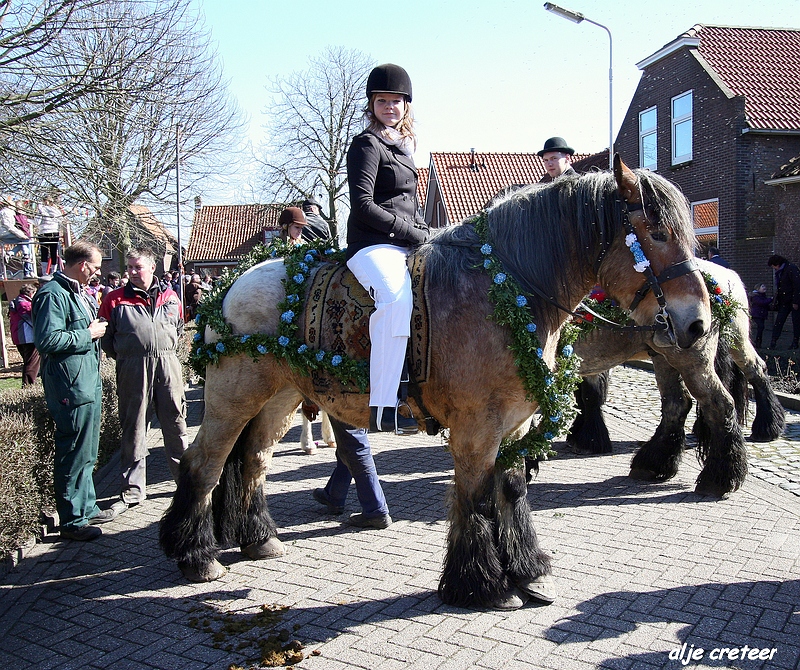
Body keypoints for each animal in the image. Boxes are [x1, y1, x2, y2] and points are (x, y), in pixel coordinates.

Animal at [159, 159, 708, 616]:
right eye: (657, 232)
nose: (697, 324)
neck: (505, 287)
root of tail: (232, 286)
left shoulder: (513, 426)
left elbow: (511, 490)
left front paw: (527, 572)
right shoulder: (476, 431)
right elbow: (477, 499)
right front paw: (483, 585)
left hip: (279, 398)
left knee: (252, 461)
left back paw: (258, 538)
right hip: (234, 396)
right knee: (204, 463)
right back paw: (195, 555)